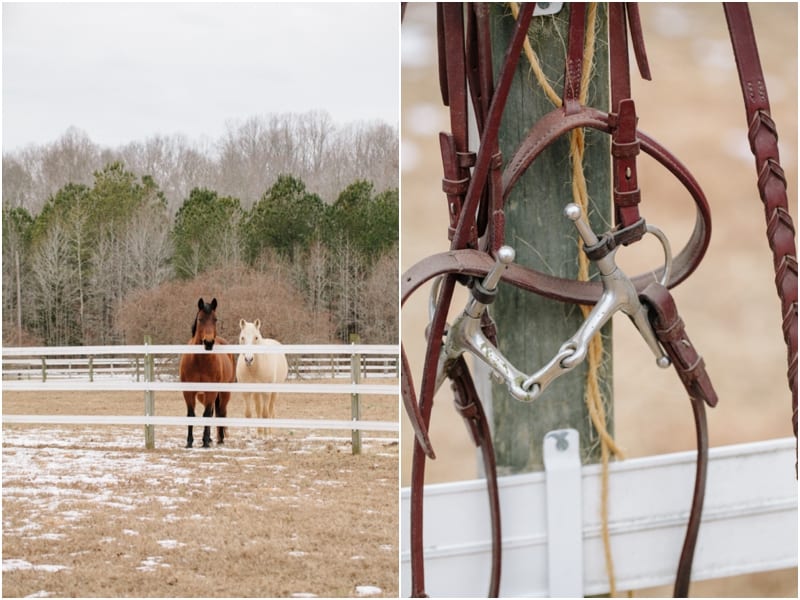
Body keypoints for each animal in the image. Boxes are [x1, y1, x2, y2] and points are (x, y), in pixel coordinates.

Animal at [177, 298, 234, 448]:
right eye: (200, 319)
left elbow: (207, 414)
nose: (208, 343)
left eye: (215, 319)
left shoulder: (211, 391)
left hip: (224, 393)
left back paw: (219, 439)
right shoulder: (188, 392)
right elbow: (191, 415)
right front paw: (189, 442)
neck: (199, 361)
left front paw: (205, 442)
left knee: (220, 413)